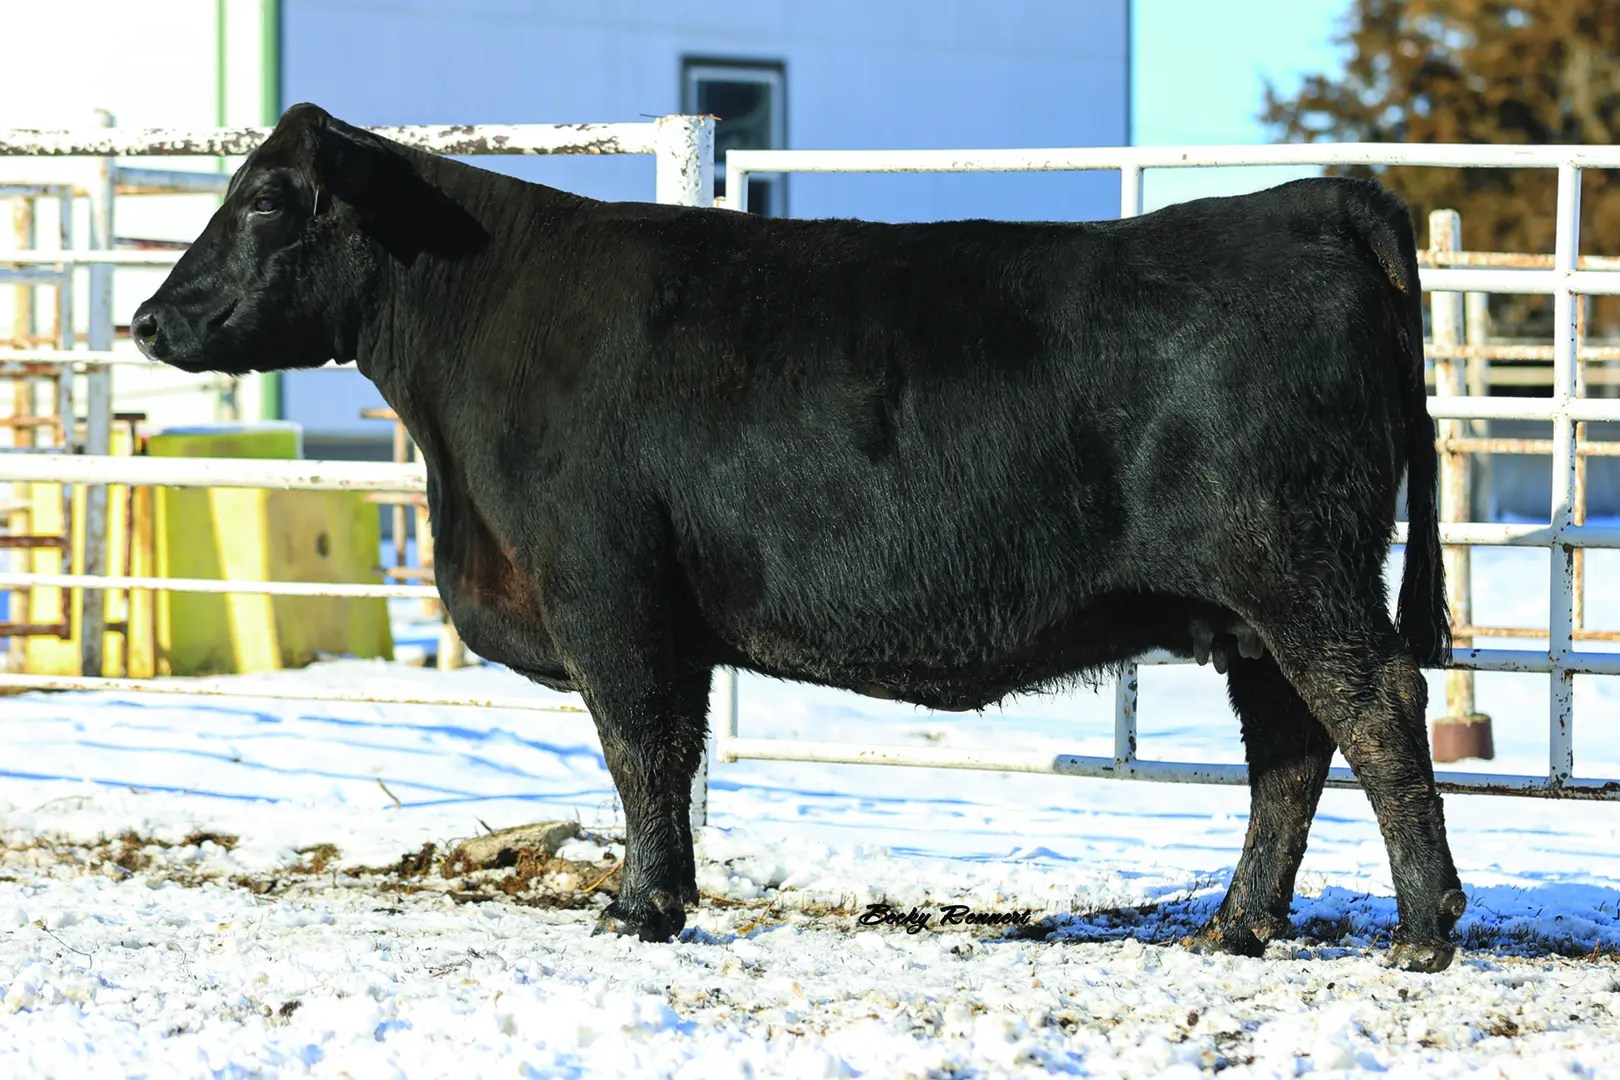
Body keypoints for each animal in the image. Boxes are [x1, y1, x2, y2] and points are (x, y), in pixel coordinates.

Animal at [133, 103, 1465, 971]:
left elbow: (640, 751)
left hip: (1295, 573)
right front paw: (658, 899)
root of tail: (1311, 202)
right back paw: (1236, 928)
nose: (147, 320)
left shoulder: (608, 591)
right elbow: (663, 755)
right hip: (1249, 608)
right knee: (1289, 748)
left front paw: (639, 907)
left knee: (1377, 708)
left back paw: (1420, 932)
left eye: (266, 200)